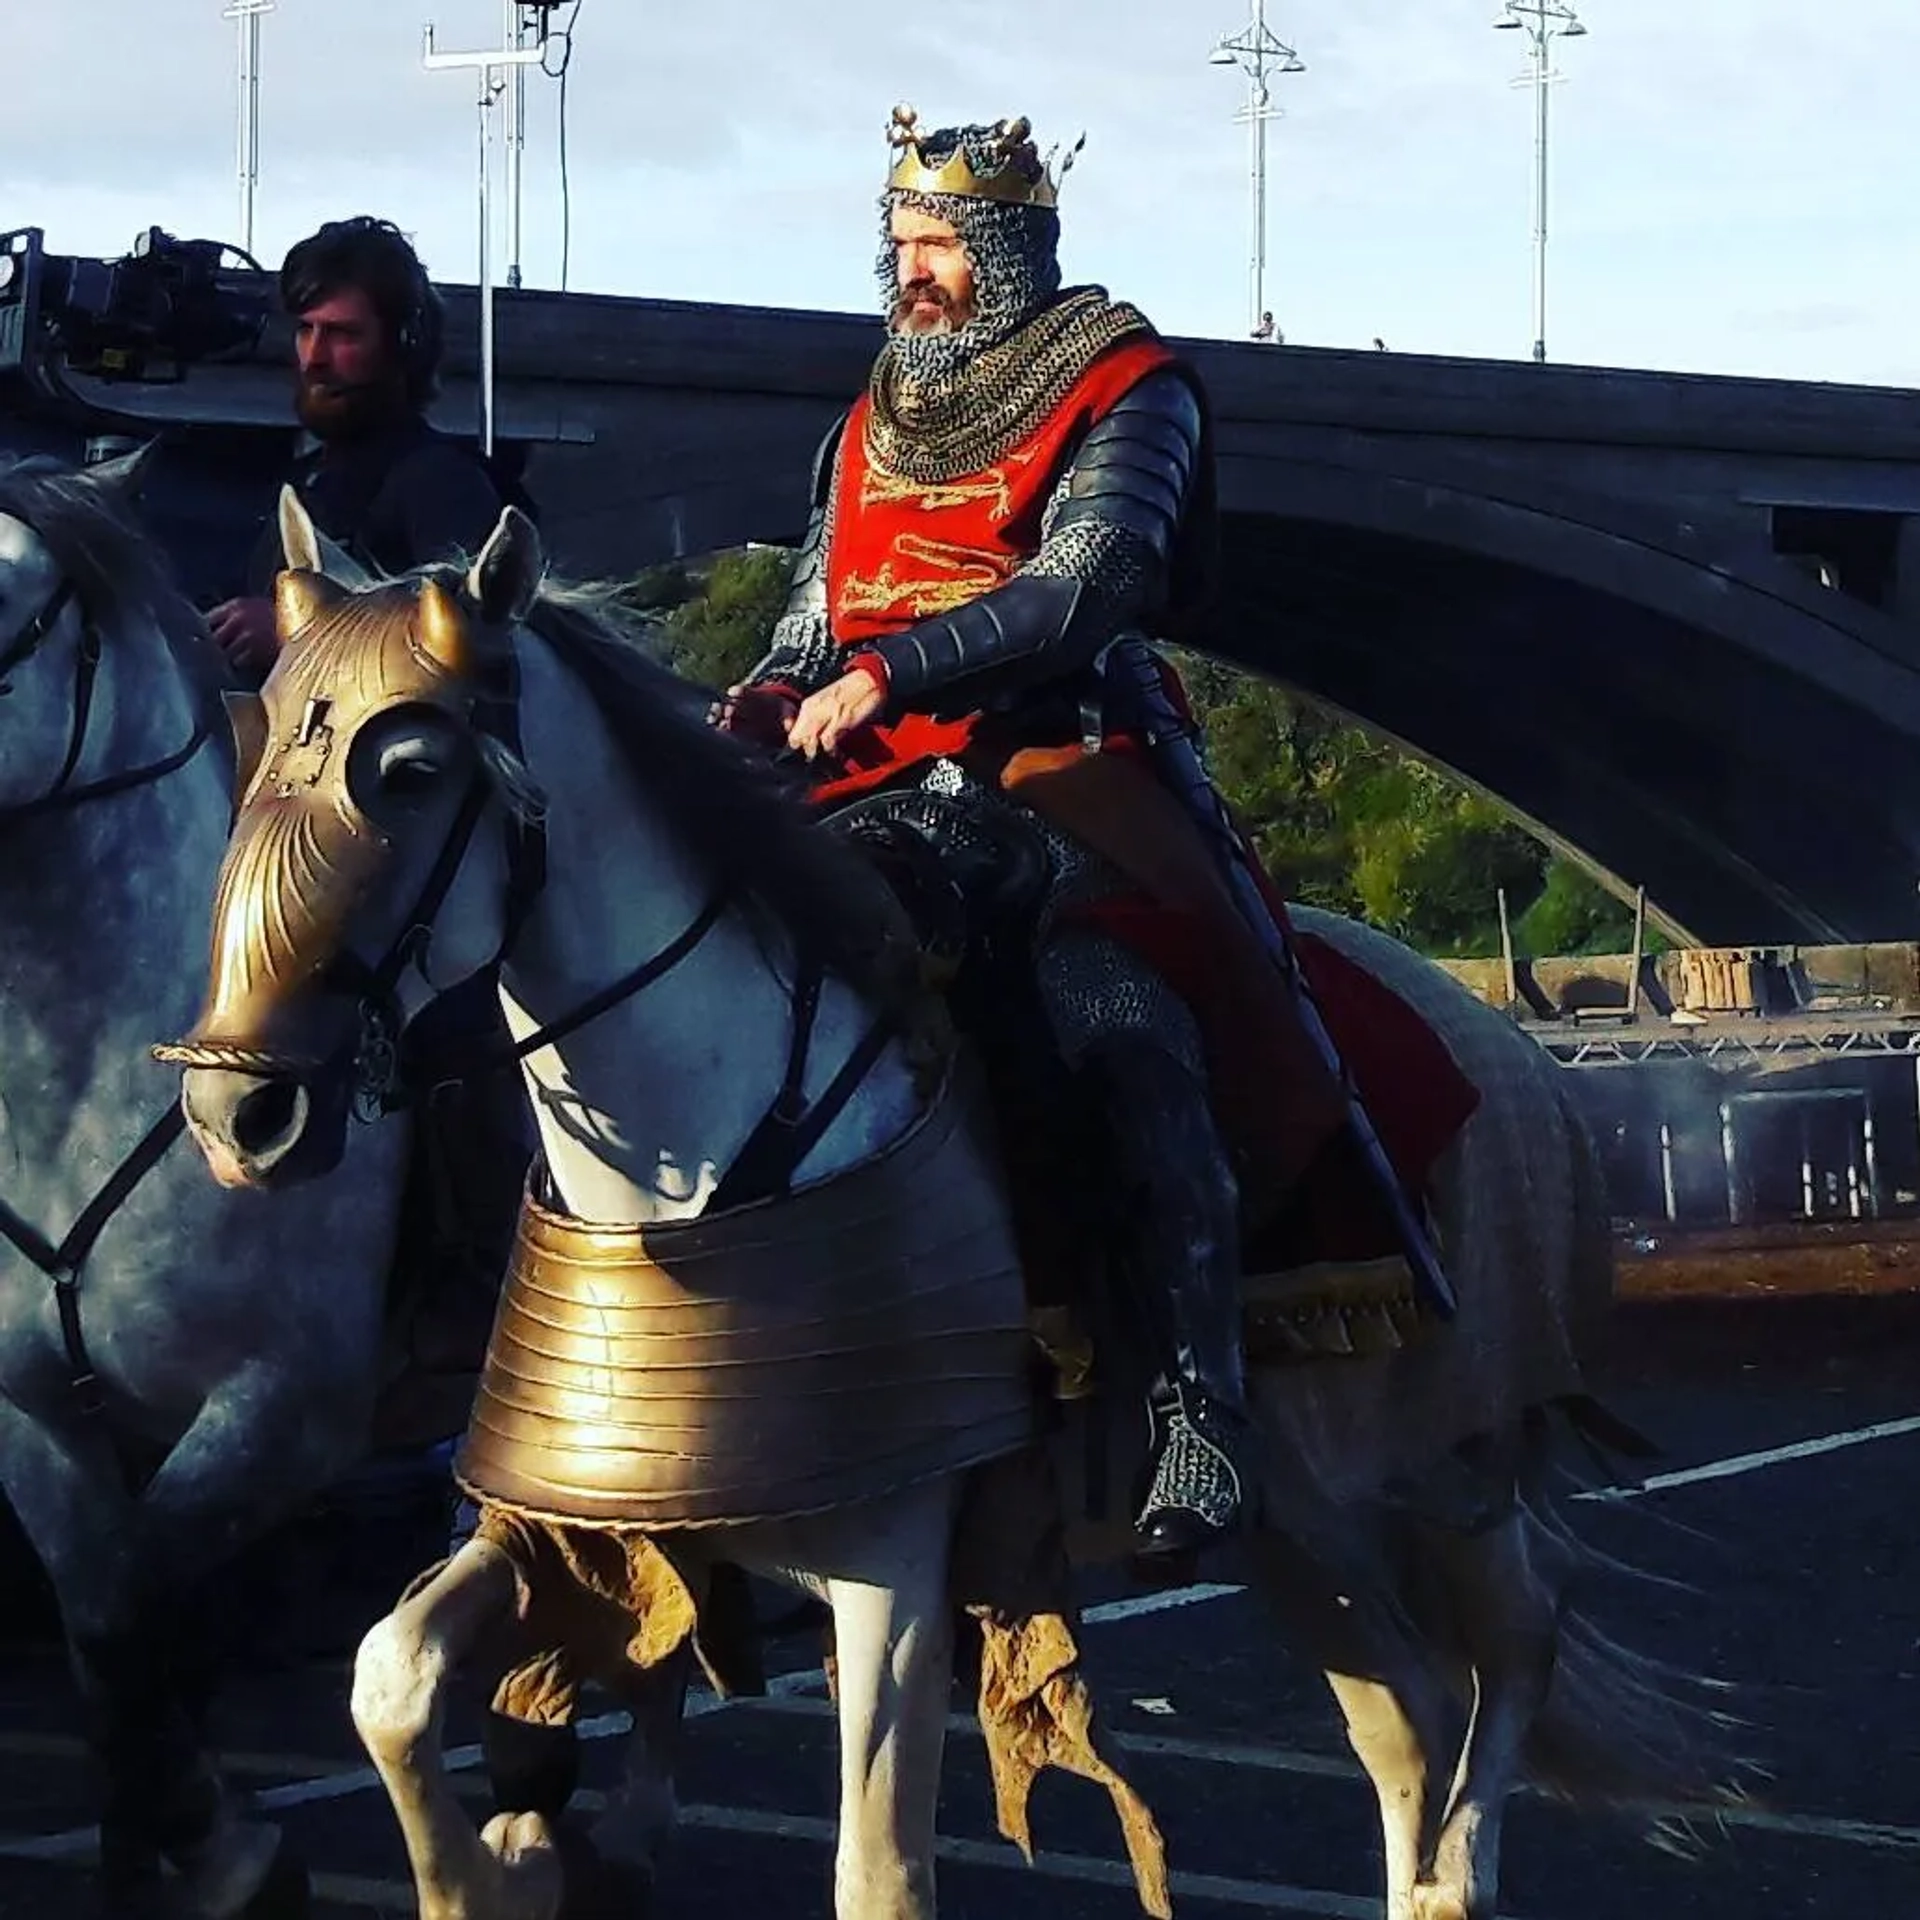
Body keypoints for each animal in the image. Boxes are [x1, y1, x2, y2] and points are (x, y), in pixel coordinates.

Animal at [0, 449, 418, 1904]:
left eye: (11, 605)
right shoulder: (35, 1420)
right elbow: (106, 1635)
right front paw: (167, 1838)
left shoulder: (285, 1410)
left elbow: (138, 1616)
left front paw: (220, 1849)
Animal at [168, 499, 1743, 1920]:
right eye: (264, 731)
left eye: (409, 766)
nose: (240, 1113)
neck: (707, 1145)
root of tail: (1505, 1048)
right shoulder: (589, 1516)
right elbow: (390, 1679)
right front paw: (507, 1863)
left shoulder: (892, 1569)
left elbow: (881, 1873)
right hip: (1309, 1514)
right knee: (1406, 1712)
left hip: (1446, 1444)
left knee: (1519, 1631)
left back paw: (1460, 1869)